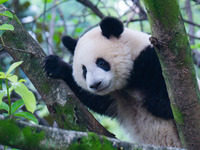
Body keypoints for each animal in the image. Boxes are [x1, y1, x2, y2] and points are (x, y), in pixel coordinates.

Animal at [43, 17, 181, 147]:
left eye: (101, 62)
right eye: (84, 70)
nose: (95, 85)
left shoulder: (155, 61)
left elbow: (167, 105)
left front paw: (153, 102)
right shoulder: (116, 97)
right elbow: (95, 99)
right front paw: (54, 65)